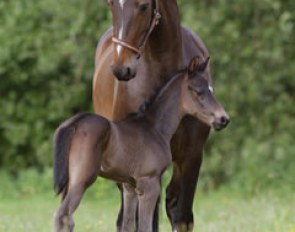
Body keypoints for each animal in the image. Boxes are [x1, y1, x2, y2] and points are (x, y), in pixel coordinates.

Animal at [53, 57, 230, 232]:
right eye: (198, 91)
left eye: (211, 90)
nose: (223, 119)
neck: (154, 127)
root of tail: (75, 123)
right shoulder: (149, 184)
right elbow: (145, 226)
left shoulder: (130, 187)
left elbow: (128, 225)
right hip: (81, 180)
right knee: (64, 216)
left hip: (68, 182)